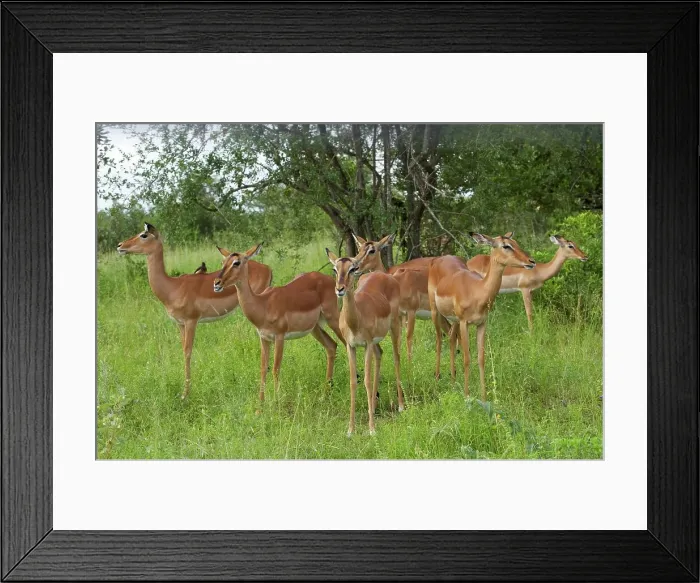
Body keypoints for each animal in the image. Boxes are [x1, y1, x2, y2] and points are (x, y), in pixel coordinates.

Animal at [116, 223, 272, 399]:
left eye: (144, 235)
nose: (120, 246)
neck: (172, 287)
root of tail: (268, 268)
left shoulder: (191, 321)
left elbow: (187, 352)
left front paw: (185, 394)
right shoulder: (180, 324)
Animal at [213, 243, 345, 404]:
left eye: (236, 262)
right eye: (223, 262)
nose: (217, 283)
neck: (263, 305)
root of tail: (331, 281)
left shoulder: (280, 337)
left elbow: (276, 368)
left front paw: (276, 402)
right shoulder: (264, 338)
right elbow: (263, 368)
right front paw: (260, 405)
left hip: (333, 318)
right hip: (315, 328)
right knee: (332, 346)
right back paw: (325, 394)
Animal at [326, 246, 404, 436]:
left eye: (352, 268)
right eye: (335, 269)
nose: (340, 289)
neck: (356, 319)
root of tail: (384, 275)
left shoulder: (366, 345)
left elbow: (367, 381)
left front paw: (372, 429)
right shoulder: (351, 346)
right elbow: (353, 382)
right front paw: (350, 430)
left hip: (395, 326)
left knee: (396, 358)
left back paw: (400, 406)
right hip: (376, 343)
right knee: (380, 354)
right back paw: (374, 408)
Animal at [428, 232, 535, 402]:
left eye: (516, 243)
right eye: (506, 245)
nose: (531, 261)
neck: (477, 290)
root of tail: (439, 259)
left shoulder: (481, 324)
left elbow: (481, 358)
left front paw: (484, 398)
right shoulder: (465, 323)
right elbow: (467, 358)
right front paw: (467, 396)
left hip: (454, 320)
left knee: (451, 337)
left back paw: (453, 381)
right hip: (435, 311)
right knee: (439, 340)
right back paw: (438, 377)